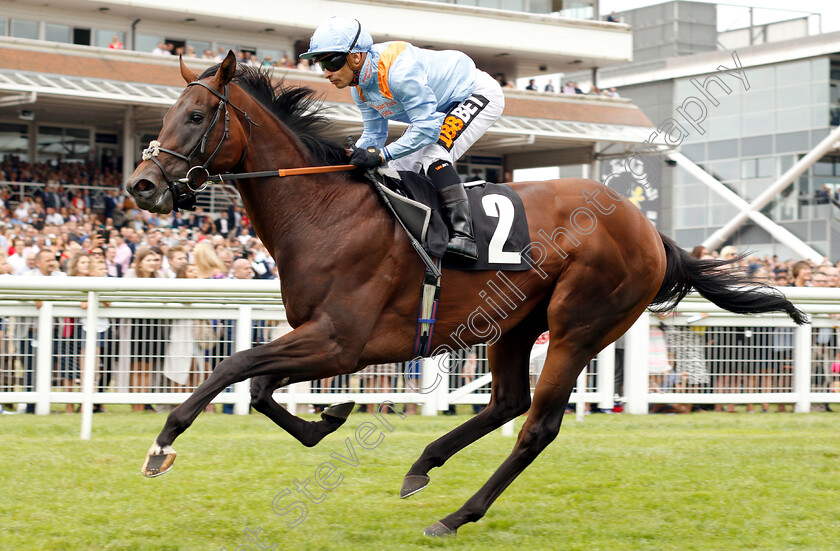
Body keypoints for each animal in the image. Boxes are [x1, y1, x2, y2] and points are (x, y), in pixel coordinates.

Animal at [124, 51, 808, 536]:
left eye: (195, 116)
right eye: (164, 114)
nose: (141, 185)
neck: (327, 211)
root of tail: (647, 228)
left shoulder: (341, 341)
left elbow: (233, 369)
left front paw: (161, 445)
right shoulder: (323, 338)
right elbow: (261, 388)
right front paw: (331, 417)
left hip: (580, 324)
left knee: (537, 425)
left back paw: (456, 515)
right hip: (515, 323)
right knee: (507, 401)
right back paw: (422, 466)